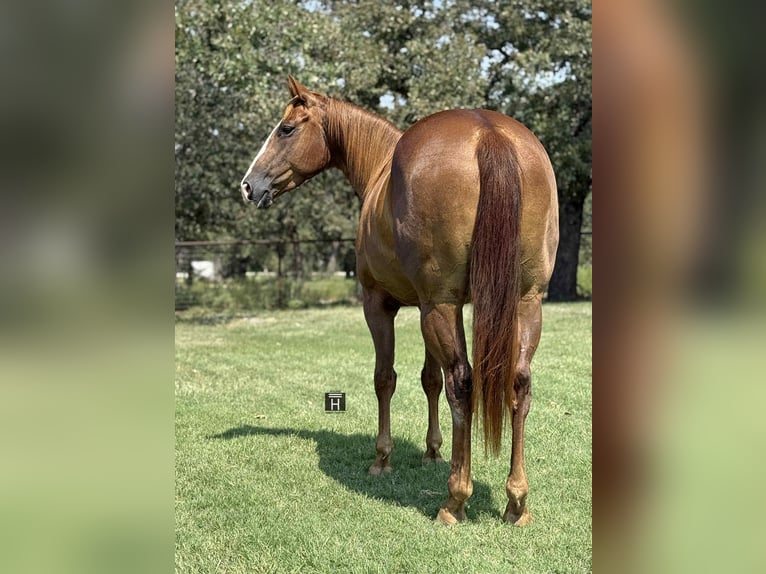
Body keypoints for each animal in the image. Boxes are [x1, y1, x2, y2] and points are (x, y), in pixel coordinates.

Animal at [240, 76, 558, 525]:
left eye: (286, 129)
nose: (249, 185)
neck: (380, 170)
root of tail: (488, 133)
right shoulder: (439, 305)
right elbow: (429, 379)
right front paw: (432, 452)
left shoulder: (382, 305)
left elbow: (385, 378)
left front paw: (382, 459)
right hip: (522, 303)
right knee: (517, 383)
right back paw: (516, 502)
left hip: (441, 308)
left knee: (462, 384)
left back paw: (454, 500)